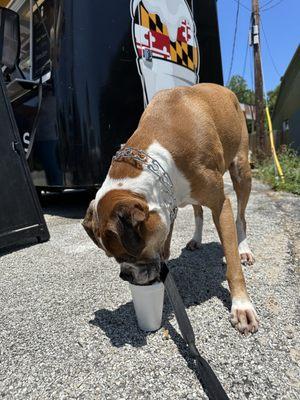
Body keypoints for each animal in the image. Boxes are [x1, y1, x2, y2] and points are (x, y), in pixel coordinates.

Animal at [82, 84, 258, 334]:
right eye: (112, 258)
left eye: (127, 255)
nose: (125, 275)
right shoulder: (168, 203)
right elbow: (165, 245)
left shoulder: (221, 205)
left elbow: (232, 263)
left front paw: (241, 305)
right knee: (198, 211)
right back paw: (196, 239)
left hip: (242, 171)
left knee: (241, 218)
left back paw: (244, 249)